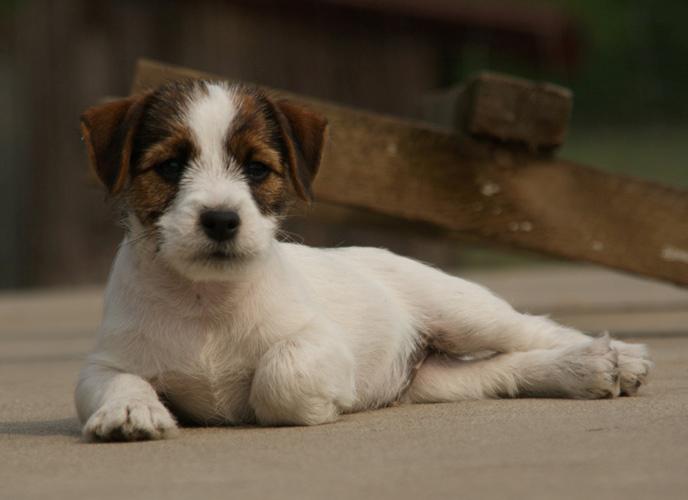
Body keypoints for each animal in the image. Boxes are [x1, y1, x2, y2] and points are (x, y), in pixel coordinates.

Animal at [75, 79, 652, 442]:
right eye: (170, 166)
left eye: (257, 169)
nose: (220, 219)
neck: (205, 301)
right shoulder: (102, 364)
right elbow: (119, 381)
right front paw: (130, 409)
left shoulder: (320, 344)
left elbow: (281, 377)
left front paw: (318, 405)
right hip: (436, 383)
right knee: (502, 371)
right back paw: (584, 370)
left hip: (462, 310)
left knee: (535, 331)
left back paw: (613, 357)